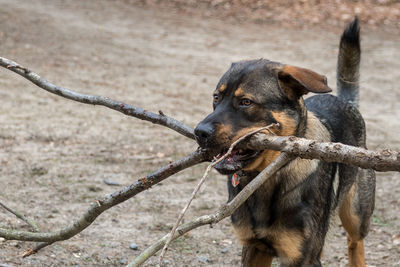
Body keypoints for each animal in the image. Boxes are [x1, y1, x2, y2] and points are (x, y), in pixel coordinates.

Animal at [194, 17, 376, 266]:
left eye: (246, 102)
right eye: (216, 97)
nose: (199, 132)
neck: (267, 178)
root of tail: (345, 100)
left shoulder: (304, 257)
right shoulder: (254, 248)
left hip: (356, 212)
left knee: (355, 241)